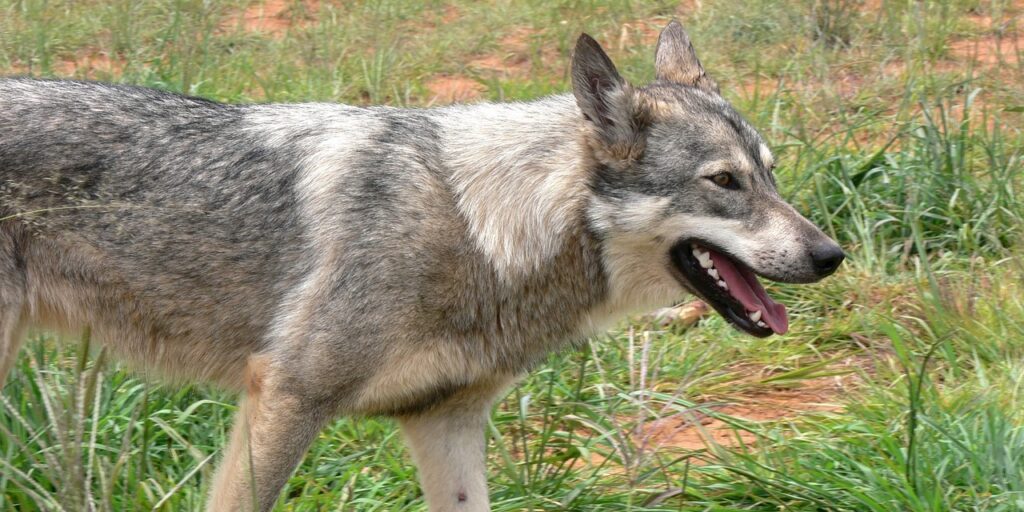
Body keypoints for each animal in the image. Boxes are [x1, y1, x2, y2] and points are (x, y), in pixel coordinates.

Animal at [0, 21, 843, 511]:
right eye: (724, 182)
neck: (480, 228)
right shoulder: (288, 398)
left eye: (771, 175)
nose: (832, 255)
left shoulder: (446, 423)